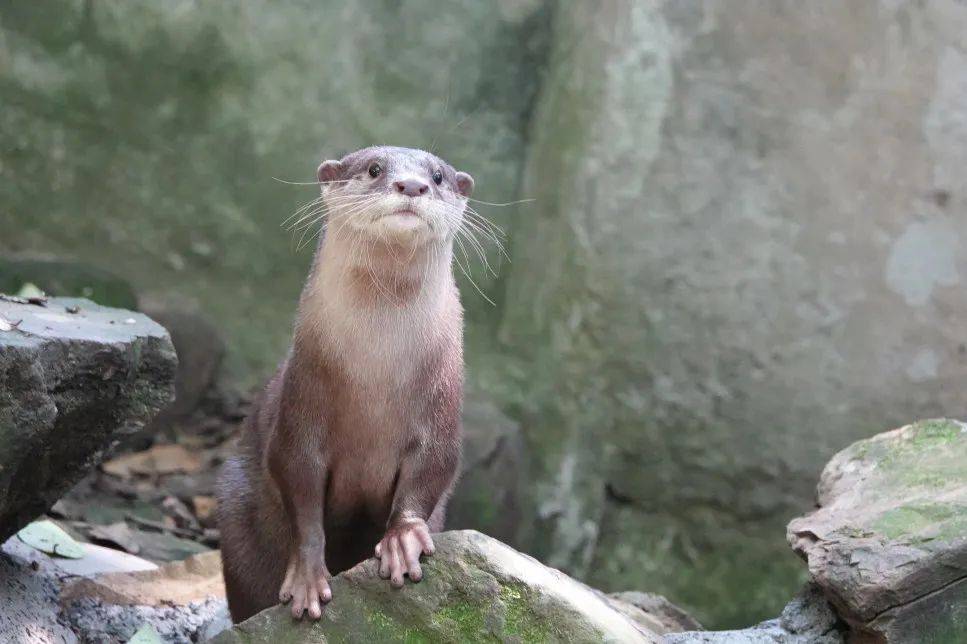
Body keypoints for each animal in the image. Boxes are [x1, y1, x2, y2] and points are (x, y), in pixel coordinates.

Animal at [218, 147, 476, 624]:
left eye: (438, 176)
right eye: (374, 169)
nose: (413, 185)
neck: (378, 369)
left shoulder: (443, 406)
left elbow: (432, 470)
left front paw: (403, 540)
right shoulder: (302, 404)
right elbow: (296, 481)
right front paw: (307, 577)